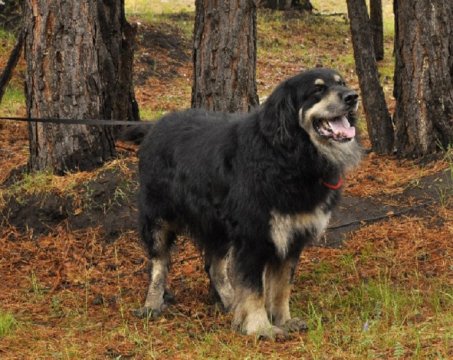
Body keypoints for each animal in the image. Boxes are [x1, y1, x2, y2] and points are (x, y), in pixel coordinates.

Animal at [134, 69, 360, 338]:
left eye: (341, 82)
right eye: (318, 90)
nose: (353, 96)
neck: (286, 155)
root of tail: (156, 125)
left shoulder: (291, 237)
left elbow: (281, 287)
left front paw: (283, 320)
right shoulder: (253, 236)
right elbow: (254, 289)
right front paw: (261, 327)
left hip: (217, 226)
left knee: (215, 267)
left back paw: (232, 303)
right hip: (159, 218)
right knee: (159, 264)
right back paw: (152, 303)